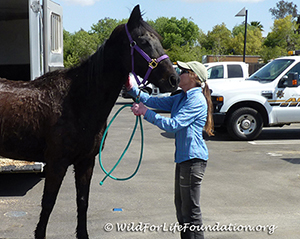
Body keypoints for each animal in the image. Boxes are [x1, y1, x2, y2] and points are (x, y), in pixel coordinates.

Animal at [0, 4, 178, 238]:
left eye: (158, 39)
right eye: (142, 41)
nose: (173, 79)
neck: (76, 100)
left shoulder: (86, 162)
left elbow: (82, 202)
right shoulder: (56, 164)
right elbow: (48, 204)